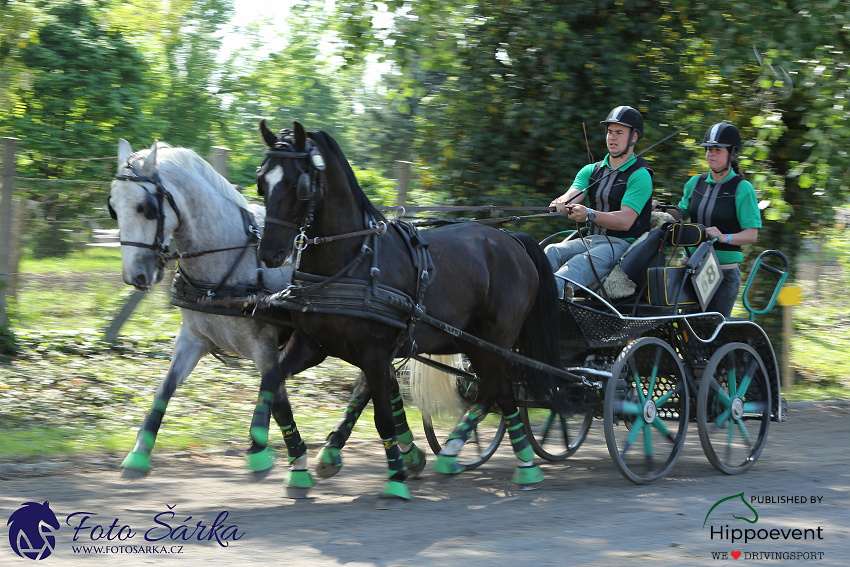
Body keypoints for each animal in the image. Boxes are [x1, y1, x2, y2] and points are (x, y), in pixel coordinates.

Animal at [255, 120, 568, 502]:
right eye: (261, 180)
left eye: (297, 186)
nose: (269, 253)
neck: (352, 261)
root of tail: (512, 240)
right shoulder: (312, 345)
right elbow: (273, 384)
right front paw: (277, 459)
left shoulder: (374, 352)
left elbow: (382, 417)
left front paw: (396, 478)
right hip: (473, 342)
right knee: (494, 391)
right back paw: (462, 454)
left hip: (493, 340)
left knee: (500, 391)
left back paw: (520, 464)